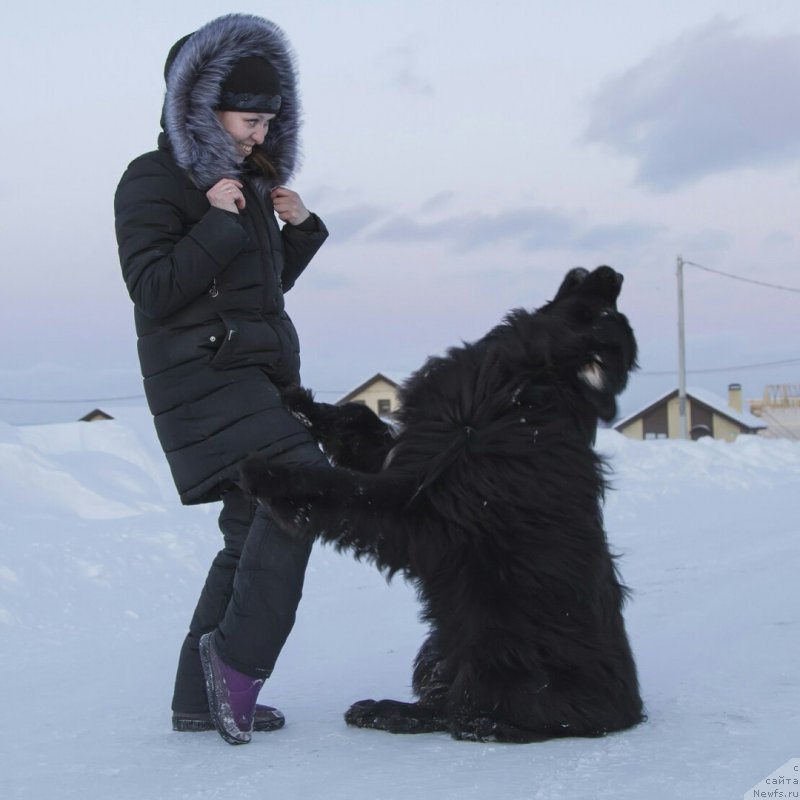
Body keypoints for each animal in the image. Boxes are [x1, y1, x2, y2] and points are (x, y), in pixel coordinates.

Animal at [242, 266, 644, 740]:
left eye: (606, 313)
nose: (613, 273)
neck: (518, 386)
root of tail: (625, 712)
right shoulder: (403, 457)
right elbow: (359, 420)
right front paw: (301, 403)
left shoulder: (419, 509)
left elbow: (340, 487)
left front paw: (267, 475)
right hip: (440, 644)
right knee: (442, 701)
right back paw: (379, 709)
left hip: (494, 649)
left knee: (475, 713)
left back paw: (446, 719)